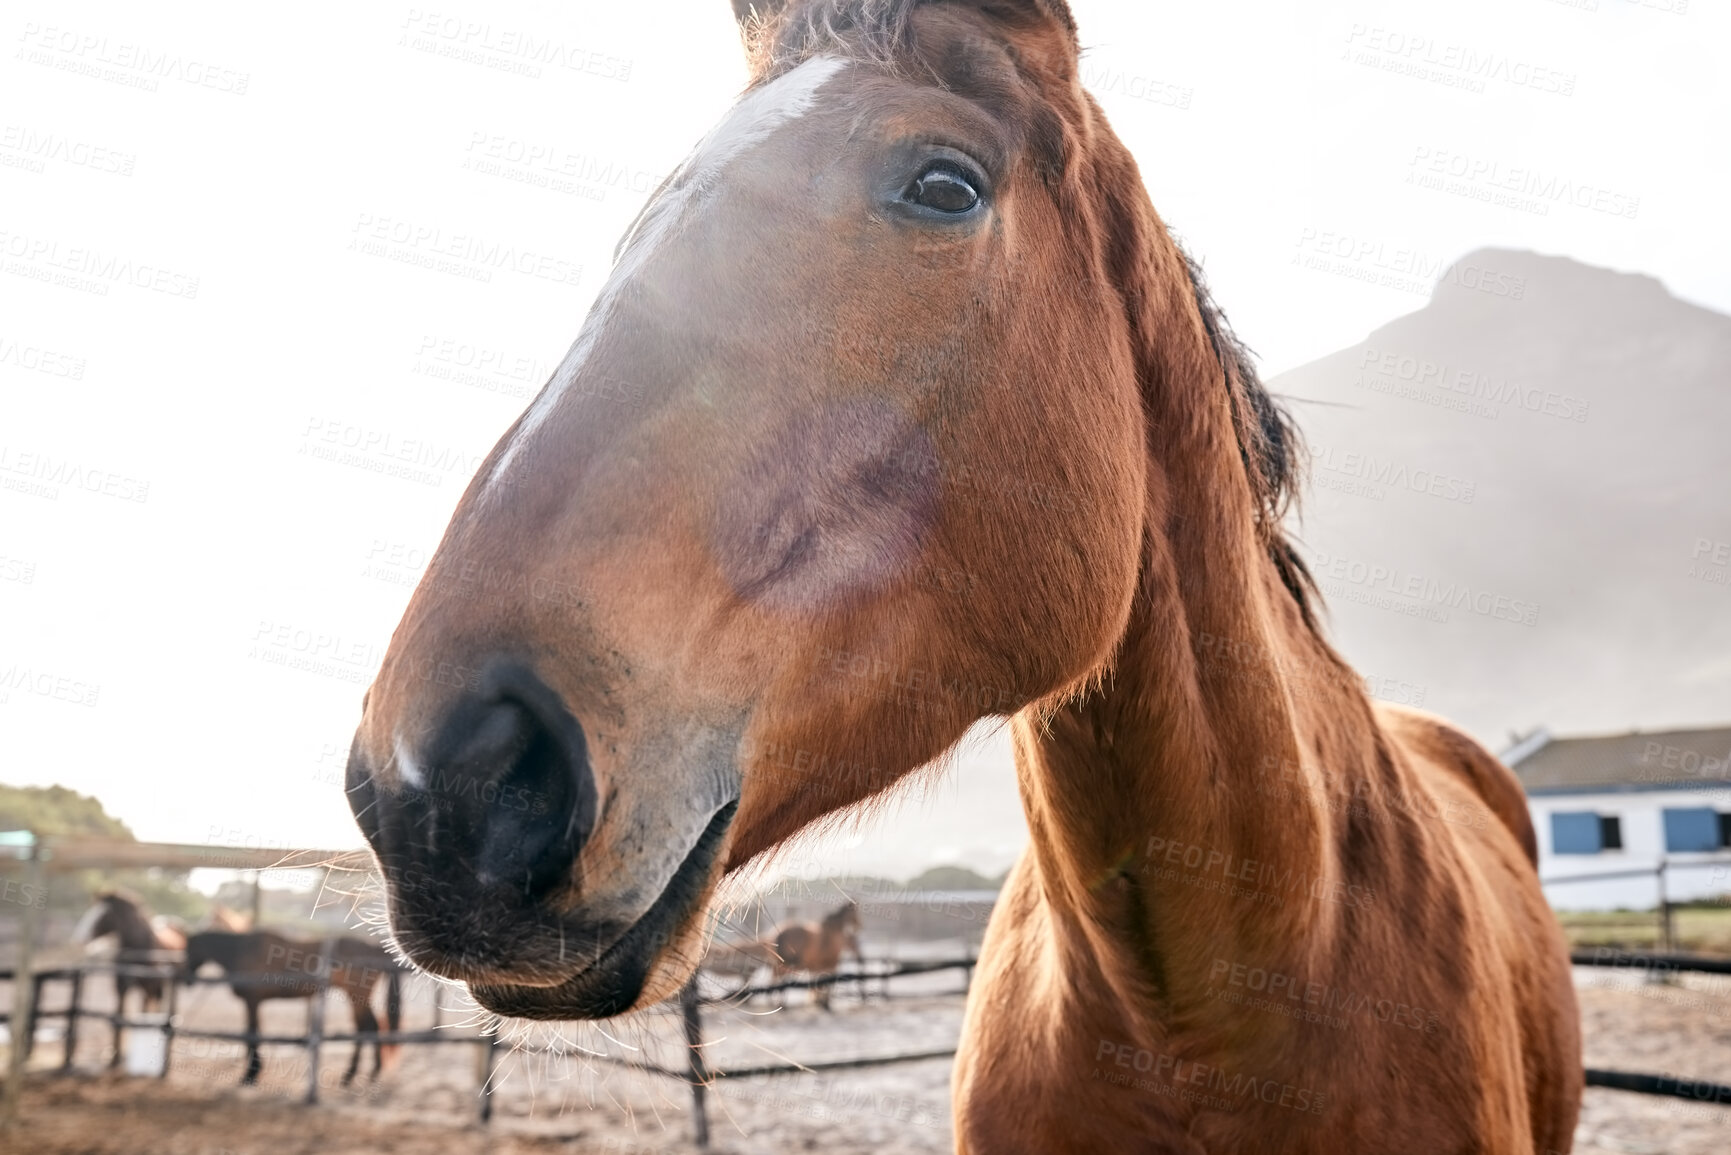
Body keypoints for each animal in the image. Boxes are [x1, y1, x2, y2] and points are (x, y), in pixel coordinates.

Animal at [73, 893, 185, 1073]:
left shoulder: (154, 985)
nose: (79, 937)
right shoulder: (121, 987)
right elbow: (119, 1018)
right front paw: (113, 1058)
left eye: (104, 913)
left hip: (166, 985)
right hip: (149, 989)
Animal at [181, 928, 401, 1087]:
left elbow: (252, 1033)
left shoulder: (252, 1002)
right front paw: (253, 1072)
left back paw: (353, 1075)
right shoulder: (255, 1003)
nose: (186, 979)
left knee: (366, 1027)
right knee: (369, 1027)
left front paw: (250, 1075)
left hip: (357, 997)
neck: (241, 951)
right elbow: (255, 1033)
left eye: (188, 949)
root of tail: (373, 948)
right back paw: (367, 1073)